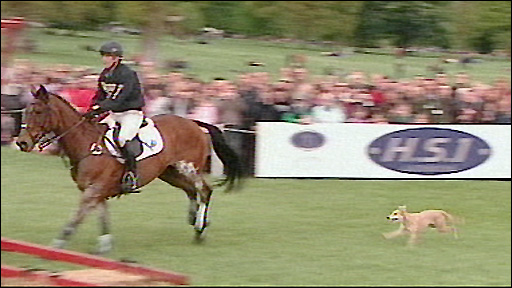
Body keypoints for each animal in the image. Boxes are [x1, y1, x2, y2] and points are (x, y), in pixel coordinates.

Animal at [16, 84, 244, 253]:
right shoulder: (98, 192)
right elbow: (103, 218)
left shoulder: (93, 191)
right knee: (191, 190)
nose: (22, 143)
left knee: (204, 190)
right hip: (168, 172)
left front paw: (58, 244)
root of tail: (194, 123)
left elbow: (76, 218)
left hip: (188, 167)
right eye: (26, 111)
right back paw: (198, 221)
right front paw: (105, 245)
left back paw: (199, 227)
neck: (87, 144)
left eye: (38, 111)